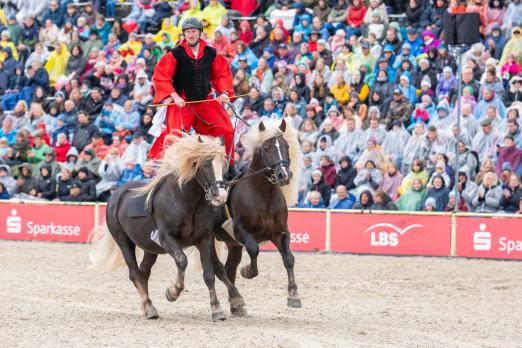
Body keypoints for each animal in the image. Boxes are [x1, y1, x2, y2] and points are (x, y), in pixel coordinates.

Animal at [89, 135, 246, 320]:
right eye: (207, 164)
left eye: (225, 164)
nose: (221, 196)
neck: (186, 201)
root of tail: (116, 196)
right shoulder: (166, 239)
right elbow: (182, 260)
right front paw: (173, 291)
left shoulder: (204, 240)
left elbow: (210, 273)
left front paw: (217, 309)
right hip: (124, 242)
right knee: (135, 273)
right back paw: (149, 307)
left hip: (150, 248)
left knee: (144, 272)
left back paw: (147, 306)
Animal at [215, 119, 302, 308]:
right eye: (267, 148)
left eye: (286, 146)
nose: (284, 175)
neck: (263, 196)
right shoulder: (241, 231)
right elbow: (254, 250)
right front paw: (247, 271)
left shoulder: (279, 232)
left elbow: (289, 258)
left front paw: (293, 294)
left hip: (233, 244)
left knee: (229, 267)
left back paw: (235, 302)